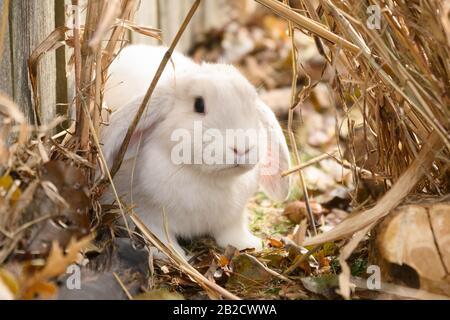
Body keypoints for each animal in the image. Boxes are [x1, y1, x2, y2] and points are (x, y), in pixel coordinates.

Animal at [101, 45, 292, 258]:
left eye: (252, 106)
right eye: (198, 105)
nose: (242, 148)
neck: (207, 177)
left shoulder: (232, 218)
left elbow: (231, 233)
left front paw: (249, 243)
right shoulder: (145, 215)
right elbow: (160, 237)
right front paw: (175, 254)